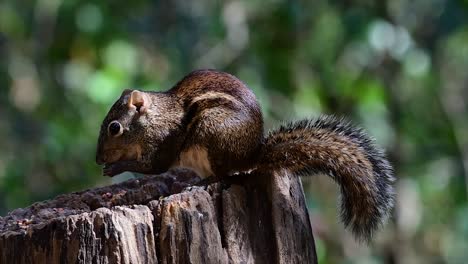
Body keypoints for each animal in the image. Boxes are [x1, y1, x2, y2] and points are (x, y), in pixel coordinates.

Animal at [95, 69, 394, 241]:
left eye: (114, 127)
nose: (98, 159)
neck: (155, 117)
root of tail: (251, 156)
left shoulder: (163, 143)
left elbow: (154, 166)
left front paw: (115, 168)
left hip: (212, 131)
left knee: (224, 175)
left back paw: (203, 182)